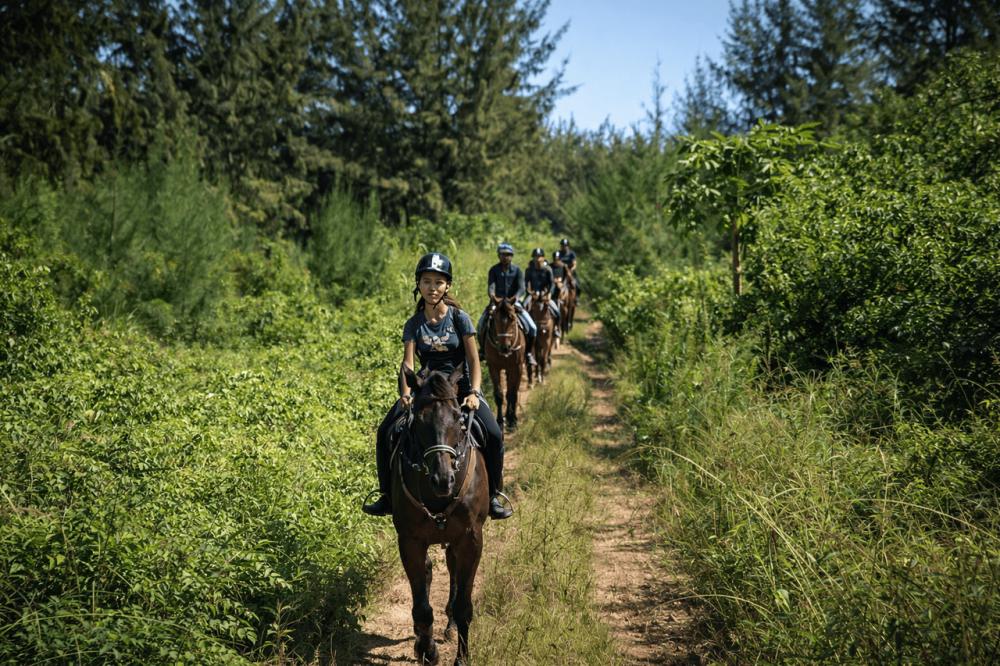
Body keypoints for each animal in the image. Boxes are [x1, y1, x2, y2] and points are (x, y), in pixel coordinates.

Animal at [391, 364, 489, 666]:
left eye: (458, 417)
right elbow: (422, 606)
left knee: (453, 570)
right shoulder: (409, 540)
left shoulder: (471, 538)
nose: (443, 480)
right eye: (418, 420)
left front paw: (461, 658)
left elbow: (464, 606)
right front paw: (427, 651)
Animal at [483, 296, 525, 431]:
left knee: (511, 392)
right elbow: (499, 395)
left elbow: (513, 393)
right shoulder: (493, 367)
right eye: (495, 319)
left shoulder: (517, 367)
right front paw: (500, 421)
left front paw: (513, 420)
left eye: (513, 318)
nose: (505, 348)